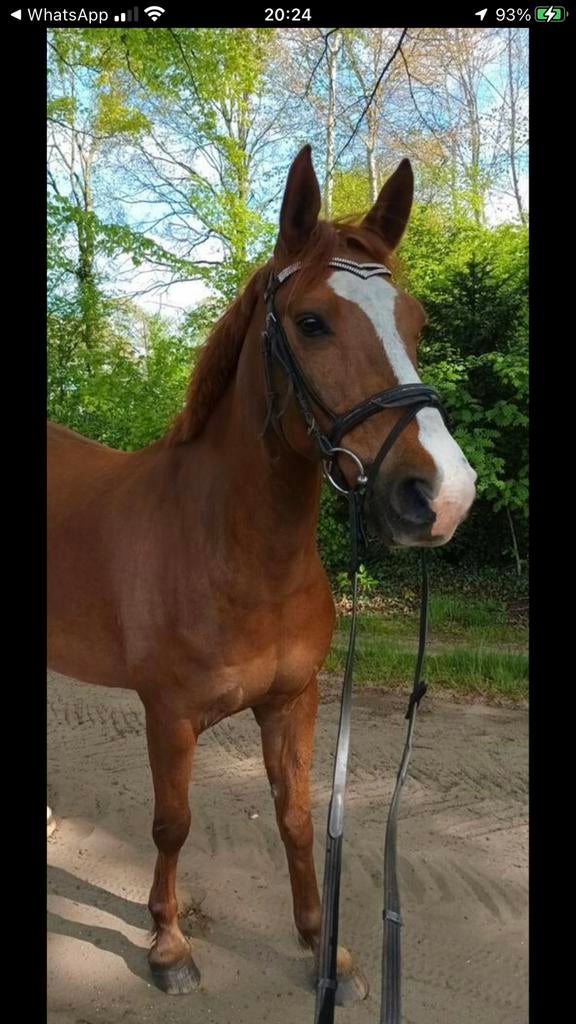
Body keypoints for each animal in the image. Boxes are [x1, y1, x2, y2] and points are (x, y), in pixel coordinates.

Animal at [47, 145, 477, 1002]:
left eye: (415, 323)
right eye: (311, 322)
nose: (443, 496)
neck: (235, 553)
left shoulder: (292, 702)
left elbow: (299, 819)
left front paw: (322, 949)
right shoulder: (169, 715)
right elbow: (171, 823)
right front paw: (168, 945)